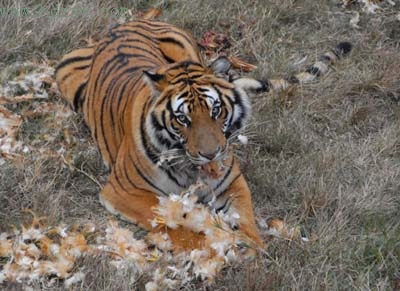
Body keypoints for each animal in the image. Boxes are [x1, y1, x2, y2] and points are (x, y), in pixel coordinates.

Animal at [55, 19, 350, 252]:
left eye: (215, 110)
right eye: (182, 119)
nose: (211, 154)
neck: (192, 170)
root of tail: (125, 23)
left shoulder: (232, 183)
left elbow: (245, 217)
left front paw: (252, 246)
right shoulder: (124, 191)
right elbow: (173, 223)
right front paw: (217, 247)